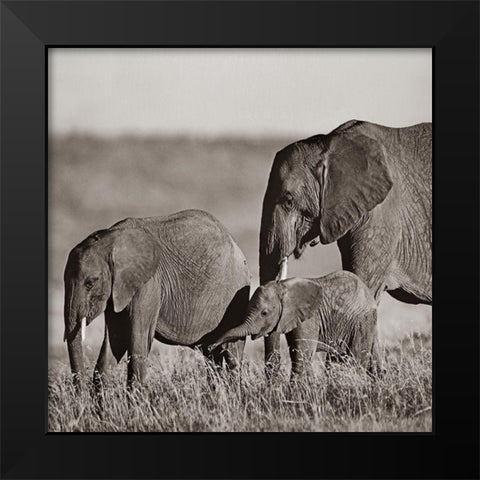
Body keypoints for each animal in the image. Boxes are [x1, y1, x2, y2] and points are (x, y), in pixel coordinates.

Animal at [63, 208, 251, 388]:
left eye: (90, 283)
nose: (80, 395)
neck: (111, 238)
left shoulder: (149, 284)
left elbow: (138, 342)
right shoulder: (117, 291)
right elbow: (115, 341)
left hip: (236, 296)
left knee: (231, 353)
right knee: (212, 356)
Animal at [210, 272, 382, 376]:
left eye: (264, 313)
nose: (213, 346)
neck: (284, 286)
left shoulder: (309, 319)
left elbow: (301, 356)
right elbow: (297, 352)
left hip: (362, 322)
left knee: (356, 360)